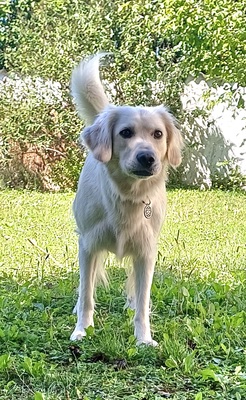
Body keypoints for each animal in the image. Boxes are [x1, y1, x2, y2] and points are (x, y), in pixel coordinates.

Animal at [69, 54, 183, 346]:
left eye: (158, 134)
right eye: (125, 133)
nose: (147, 158)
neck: (127, 196)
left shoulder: (146, 252)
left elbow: (143, 300)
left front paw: (143, 338)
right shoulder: (88, 245)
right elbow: (86, 293)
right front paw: (82, 329)